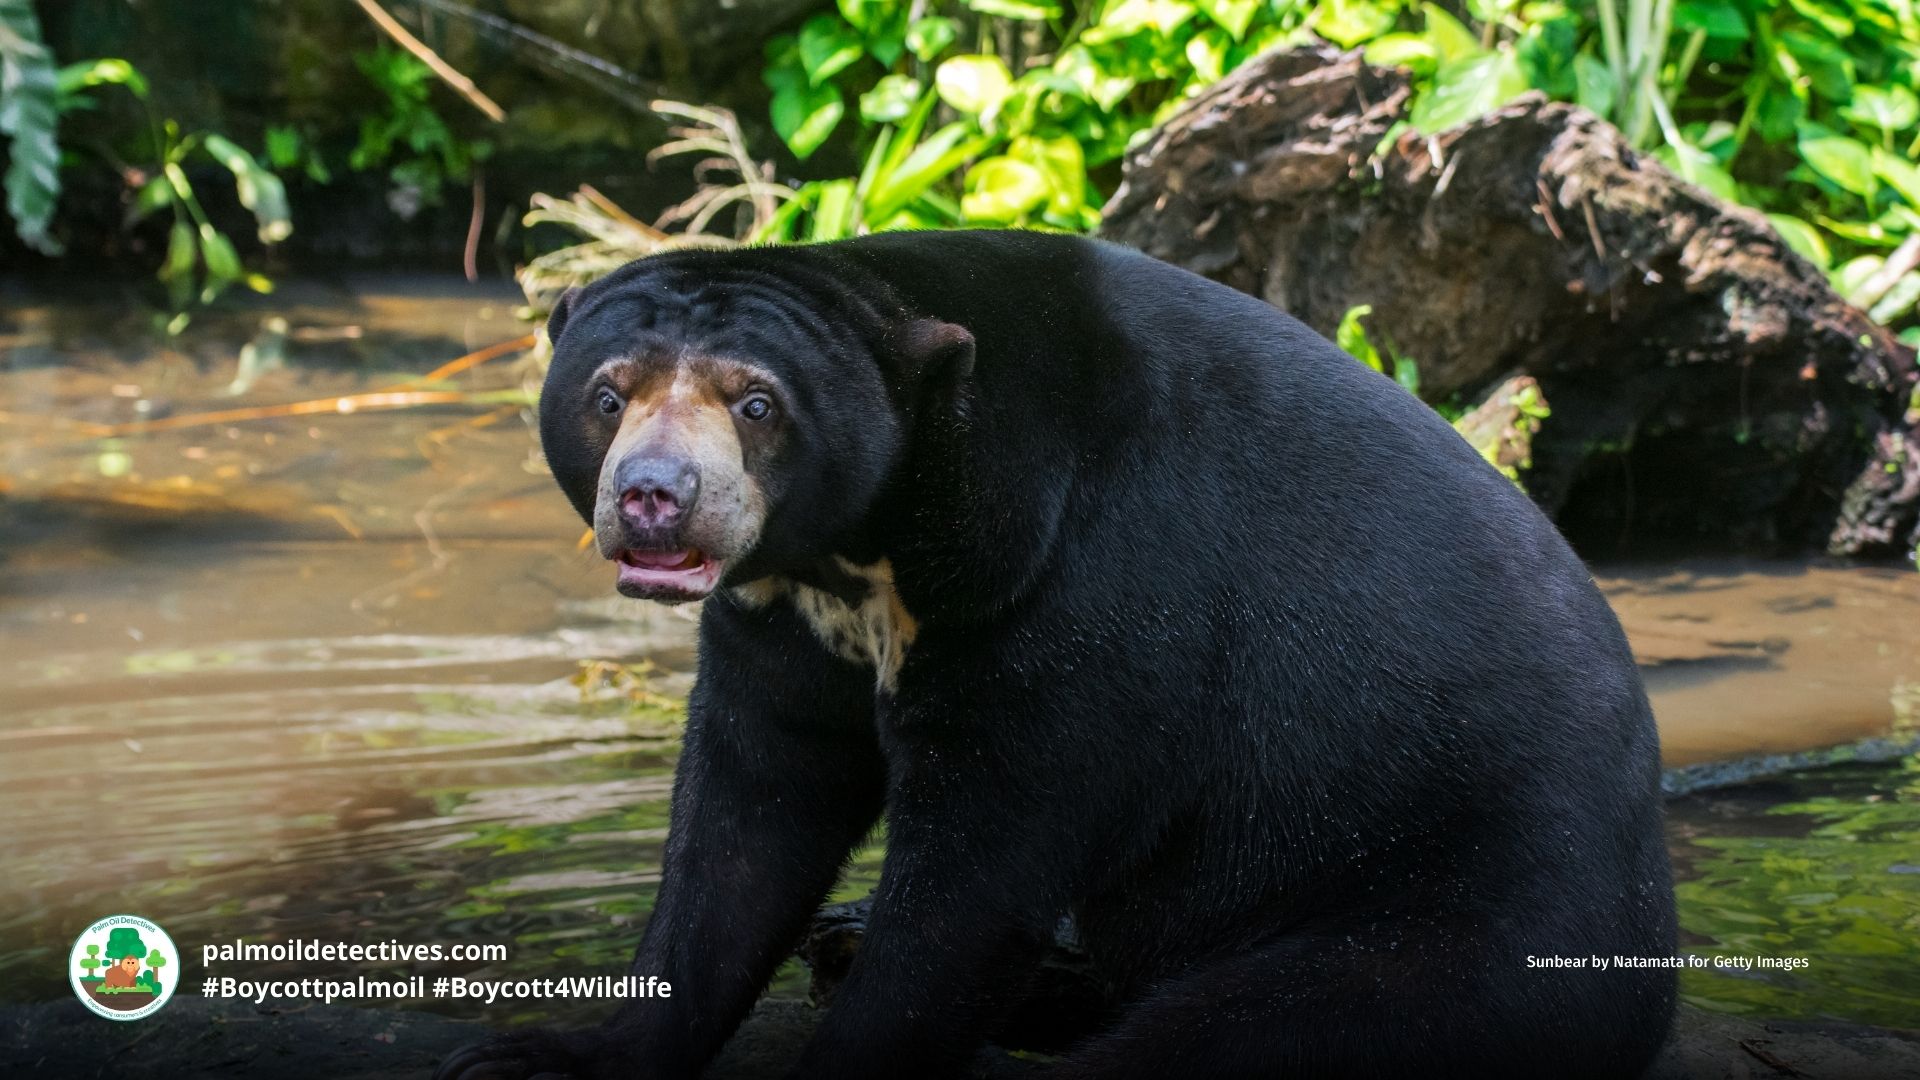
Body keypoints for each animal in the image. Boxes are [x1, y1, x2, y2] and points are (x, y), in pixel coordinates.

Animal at [437, 229, 1677, 1080]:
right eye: (608, 395)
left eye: (757, 404)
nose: (656, 499)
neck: (873, 550)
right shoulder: (786, 622)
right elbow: (747, 823)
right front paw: (547, 1053)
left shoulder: (1086, 589)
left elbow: (986, 861)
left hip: (1451, 910)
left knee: (1244, 1031)